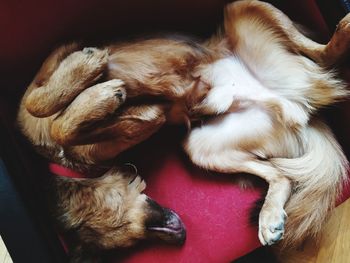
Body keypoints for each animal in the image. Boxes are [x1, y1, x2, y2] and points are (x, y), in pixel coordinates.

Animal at [17, 0, 350, 262]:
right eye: (134, 236)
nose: (178, 232)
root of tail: (292, 100)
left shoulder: (56, 59)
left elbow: (41, 107)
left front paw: (91, 82)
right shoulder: (142, 124)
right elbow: (67, 129)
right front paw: (104, 104)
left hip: (241, 7)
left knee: (320, 54)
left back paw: (342, 32)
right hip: (201, 147)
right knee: (280, 175)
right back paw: (269, 217)